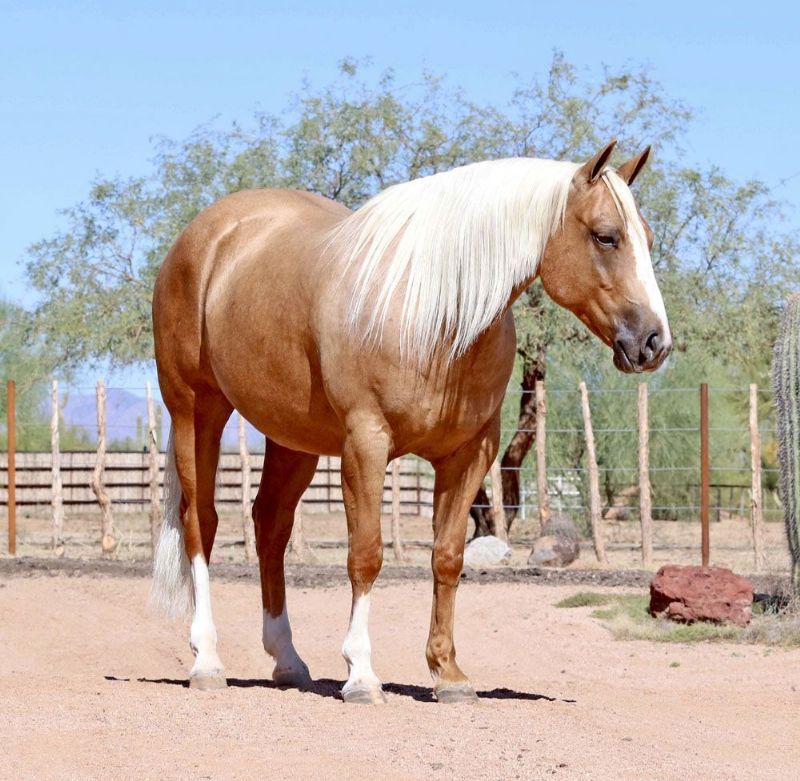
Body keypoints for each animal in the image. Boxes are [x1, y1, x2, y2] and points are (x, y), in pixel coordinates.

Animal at [150, 139, 671, 703]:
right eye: (606, 236)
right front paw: (361, 674)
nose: (654, 342)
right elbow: (366, 555)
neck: (435, 314)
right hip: (196, 409)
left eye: (647, 238)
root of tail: (205, 235)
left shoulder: (470, 455)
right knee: (201, 523)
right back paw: (207, 660)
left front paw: (449, 673)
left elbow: (448, 557)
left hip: (292, 438)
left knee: (270, 526)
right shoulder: (366, 444)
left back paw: (288, 662)